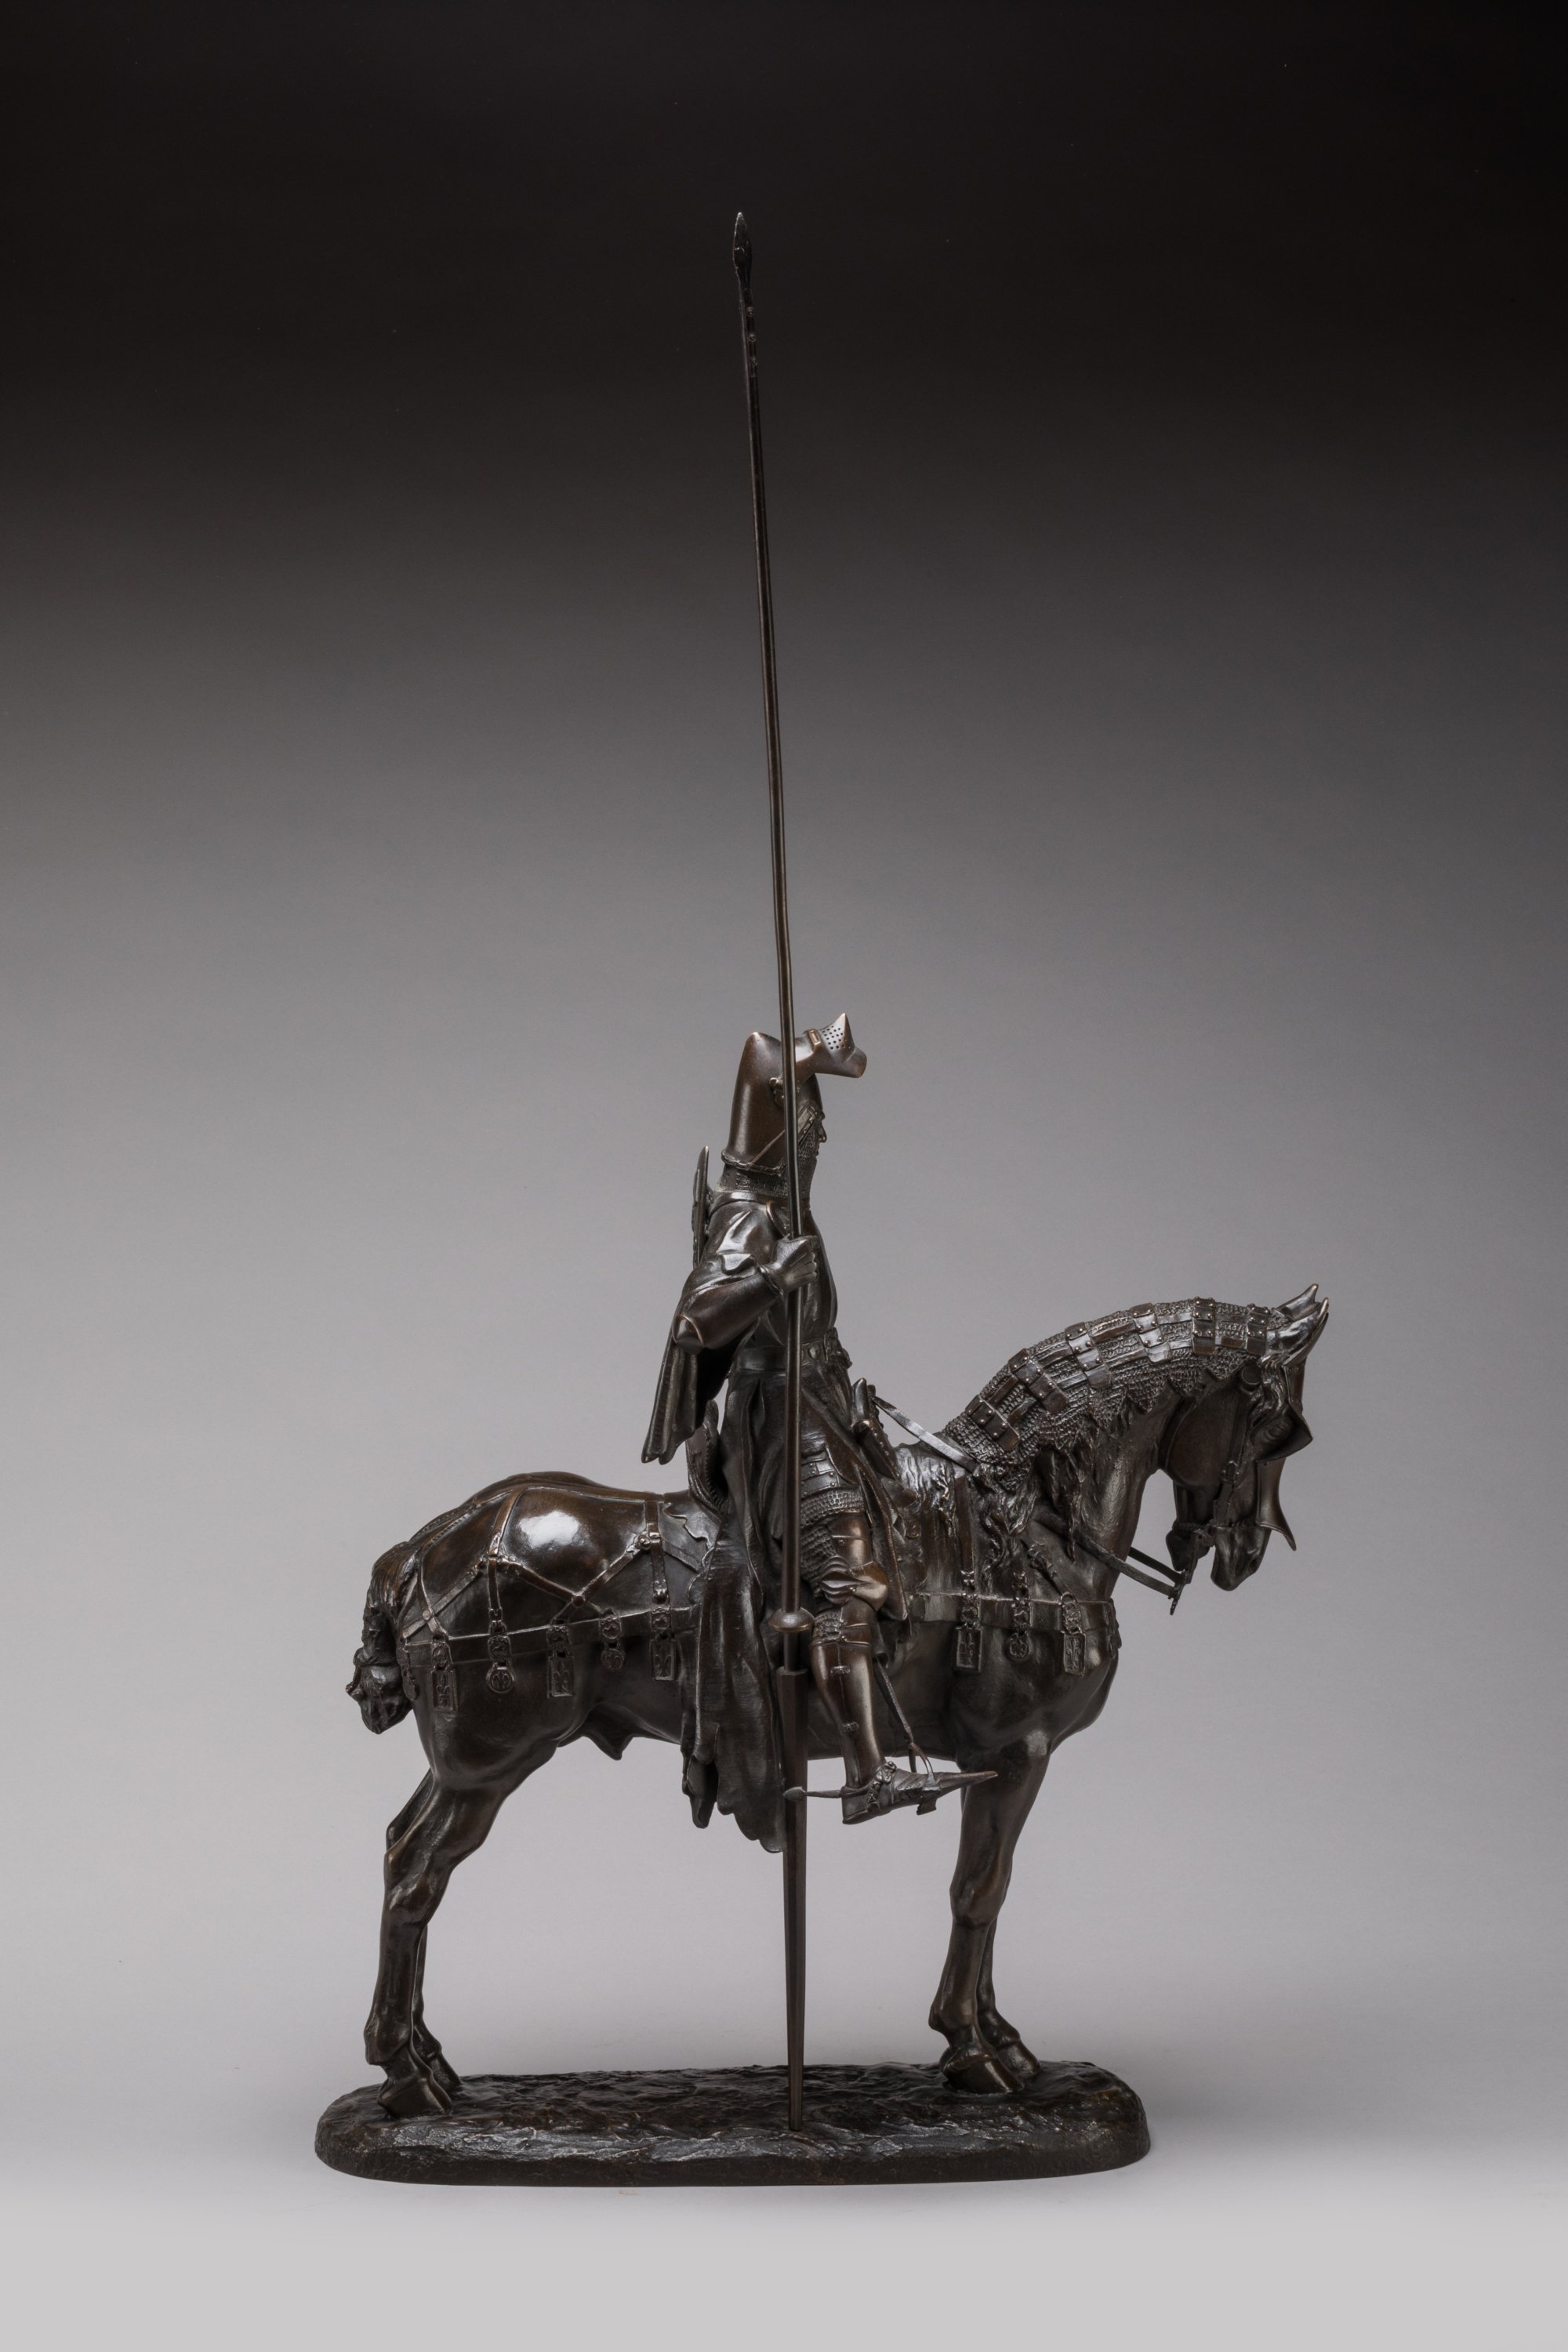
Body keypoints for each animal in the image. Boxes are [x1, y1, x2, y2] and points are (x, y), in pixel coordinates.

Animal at [348, 1286, 1327, 2116]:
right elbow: (979, 1889)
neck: (1022, 1526)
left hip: (466, 1769)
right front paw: (974, 2051)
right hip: (487, 1764)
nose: (1244, 1552)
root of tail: (421, 1549)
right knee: (416, 1872)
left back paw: (424, 2063)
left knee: (401, 1853)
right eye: (1282, 1433)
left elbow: (989, 1890)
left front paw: (997, 2041)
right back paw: (408, 2074)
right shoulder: (1014, 1753)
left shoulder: (1002, 1763)